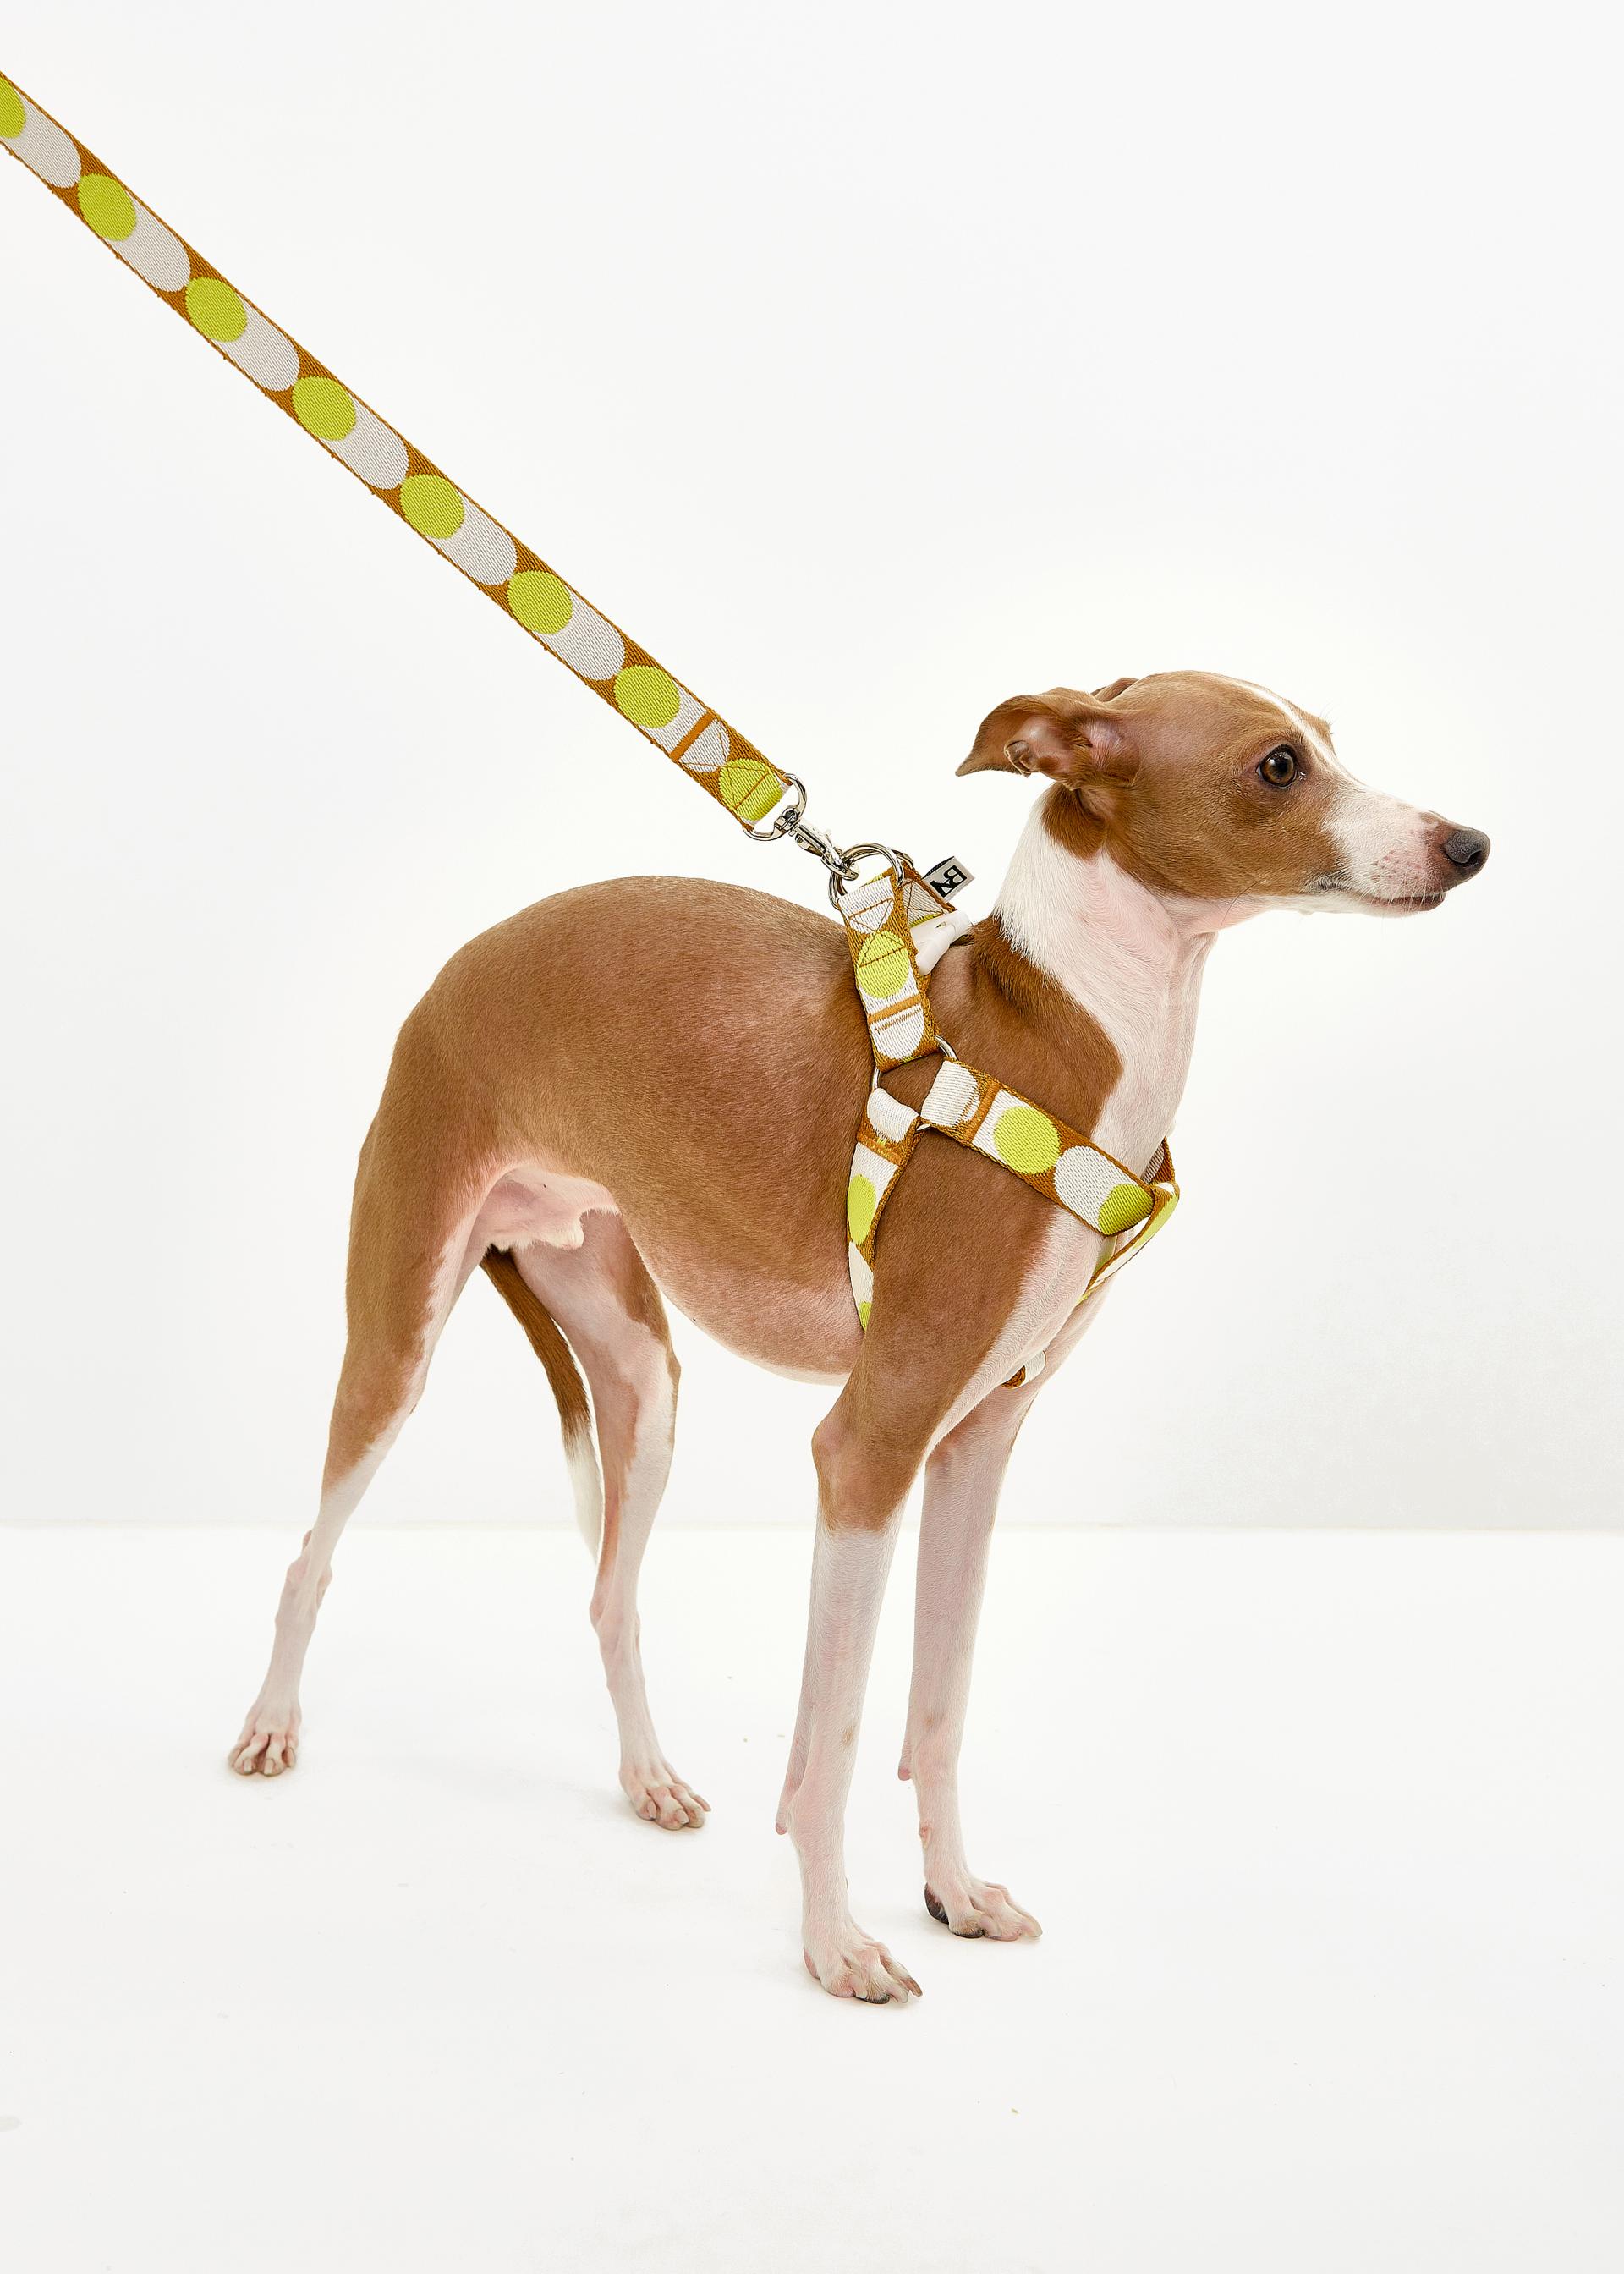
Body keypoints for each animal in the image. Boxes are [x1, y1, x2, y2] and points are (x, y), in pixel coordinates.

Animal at [230, 670, 1490, 2001]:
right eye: (1278, 766)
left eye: (1329, 743)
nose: (1469, 845)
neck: (1058, 1041)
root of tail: (453, 973)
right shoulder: (868, 1449)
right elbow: (831, 1738)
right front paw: (837, 1946)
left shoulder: (974, 1448)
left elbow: (936, 1707)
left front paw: (954, 1896)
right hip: (398, 1332)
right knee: (312, 1553)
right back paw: (269, 1729)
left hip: (642, 1377)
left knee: (612, 1596)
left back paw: (649, 1781)